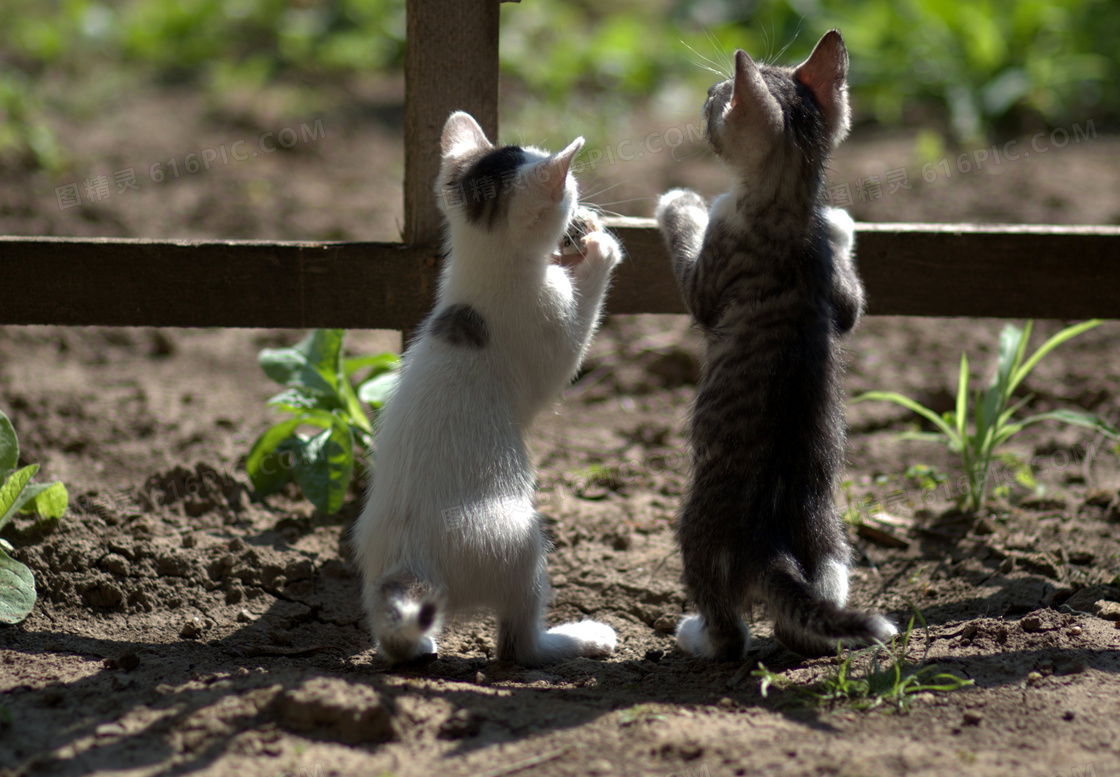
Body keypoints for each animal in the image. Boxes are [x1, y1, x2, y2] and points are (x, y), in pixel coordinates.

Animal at [351, 109, 622, 671]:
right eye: (571, 190)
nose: (584, 208)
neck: (482, 271)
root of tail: (410, 560)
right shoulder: (547, 331)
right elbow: (570, 348)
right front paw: (600, 248)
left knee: (394, 638)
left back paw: (416, 647)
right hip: (518, 542)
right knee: (519, 645)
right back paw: (579, 639)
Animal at [654, 31, 896, 662]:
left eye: (720, 99)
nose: (707, 92)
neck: (789, 210)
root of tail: (774, 545)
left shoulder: (710, 275)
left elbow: (692, 258)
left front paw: (678, 202)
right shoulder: (839, 299)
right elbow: (852, 304)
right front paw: (841, 223)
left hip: (696, 533)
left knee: (729, 631)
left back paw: (697, 636)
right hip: (832, 544)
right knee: (809, 614)